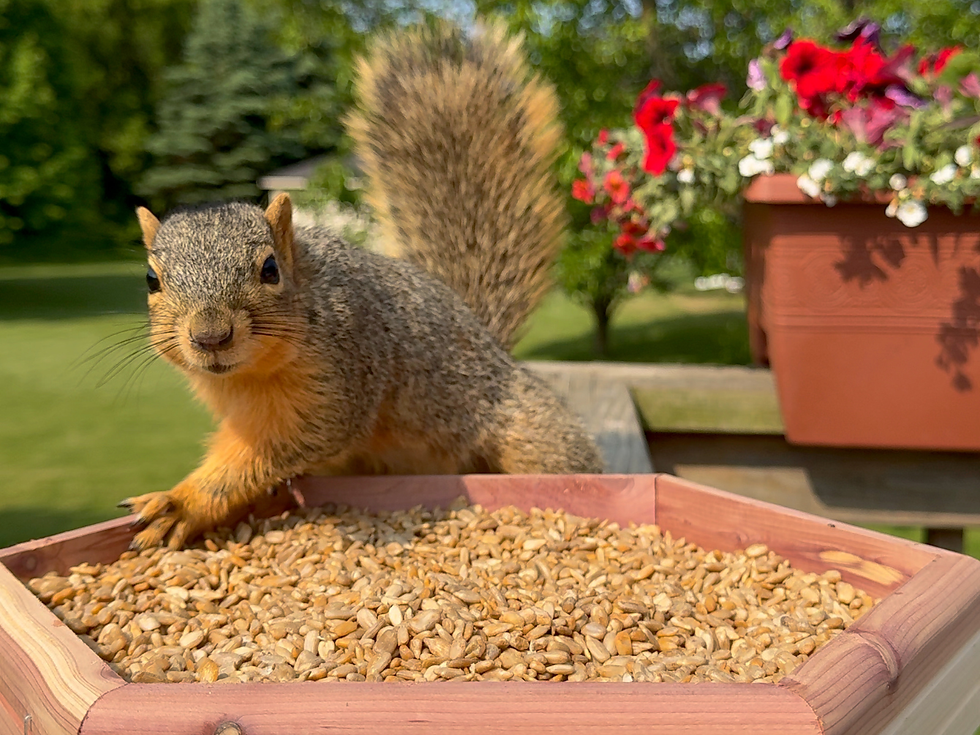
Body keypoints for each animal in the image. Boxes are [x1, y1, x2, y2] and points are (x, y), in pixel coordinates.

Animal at [120, 18, 604, 550]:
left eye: (270, 269)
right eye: (151, 279)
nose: (210, 337)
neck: (248, 377)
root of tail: (485, 335)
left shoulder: (345, 375)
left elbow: (280, 448)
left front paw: (182, 503)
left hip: (529, 434)